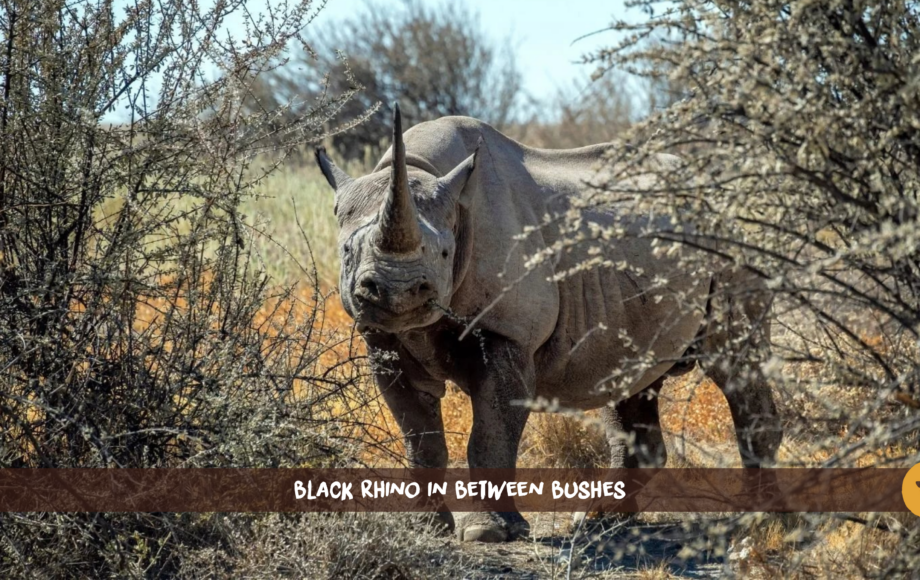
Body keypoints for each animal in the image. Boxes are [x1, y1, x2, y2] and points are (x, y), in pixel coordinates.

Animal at [314, 105, 783, 542]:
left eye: (444, 254)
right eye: (346, 253)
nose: (399, 293)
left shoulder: (507, 331)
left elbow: (490, 436)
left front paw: (487, 532)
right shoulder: (385, 336)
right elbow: (420, 437)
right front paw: (425, 528)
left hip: (733, 246)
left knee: (735, 364)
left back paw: (756, 523)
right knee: (628, 373)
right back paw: (599, 521)